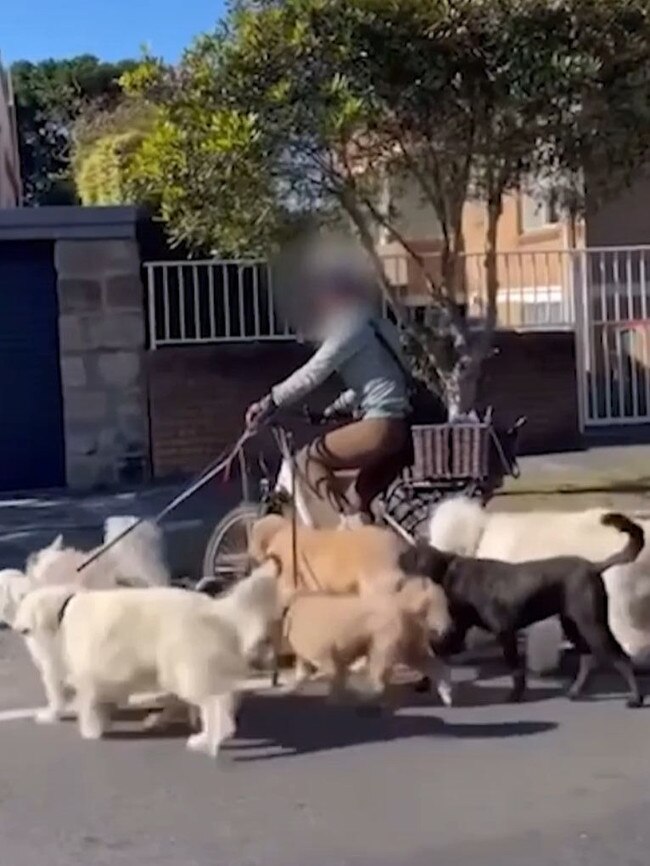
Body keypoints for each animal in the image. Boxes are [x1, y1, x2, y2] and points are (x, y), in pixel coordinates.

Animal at [11, 560, 278, 756]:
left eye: (25, 625)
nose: (16, 629)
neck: (64, 611)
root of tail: (216, 609)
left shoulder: (87, 672)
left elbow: (85, 702)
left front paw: (89, 729)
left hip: (186, 668)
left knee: (216, 703)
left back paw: (206, 739)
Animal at [400, 510, 644, 704]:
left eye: (410, 557)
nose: (397, 559)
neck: (451, 569)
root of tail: (595, 566)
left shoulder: (504, 632)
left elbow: (516, 671)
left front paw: (515, 696)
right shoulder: (458, 630)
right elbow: (436, 652)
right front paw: (425, 681)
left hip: (592, 624)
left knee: (621, 658)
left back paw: (636, 698)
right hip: (573, 624)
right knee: (588, 657)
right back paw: (575, 691)